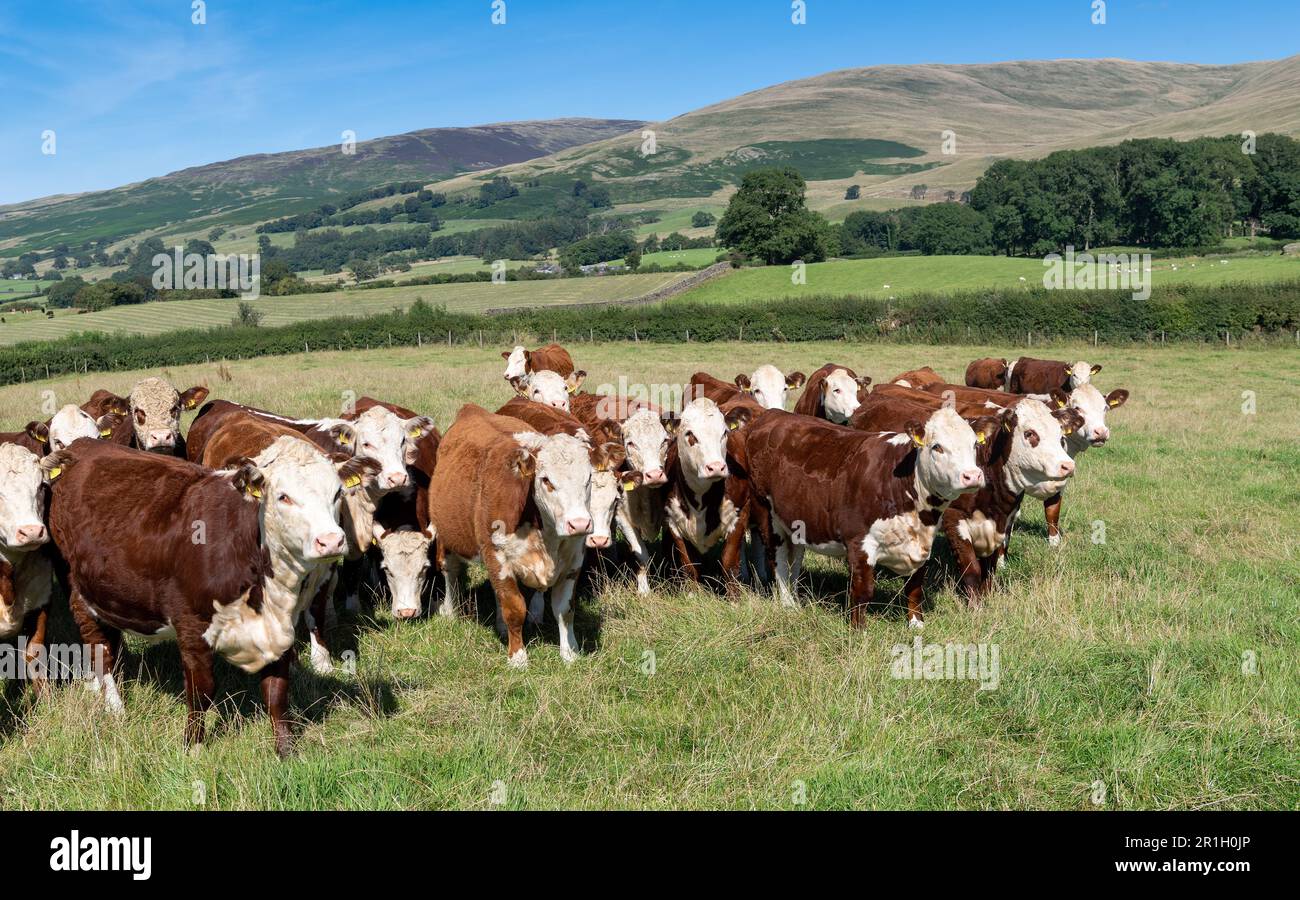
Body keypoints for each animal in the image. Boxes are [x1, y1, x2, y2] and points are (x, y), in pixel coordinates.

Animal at [48, 436, 379, 754]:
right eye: (283, 496)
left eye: (337, 494)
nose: (331, 541)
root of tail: (82, 446)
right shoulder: (192, 625)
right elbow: (201, 691)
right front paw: (193, 746)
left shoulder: (280, 625)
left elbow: (276, 692)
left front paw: (286, 751)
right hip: (77, 591)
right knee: (99, 647)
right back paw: (114, 705)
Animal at [431, 403, 598, 663]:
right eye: (546, 480)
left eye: (589, 477)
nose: (579, 524)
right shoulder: (496, 555)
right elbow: (514, 607)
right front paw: (518, 657)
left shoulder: (573, 560)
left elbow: (564, 609)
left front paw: (569, 653)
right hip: (447, 536)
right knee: (450, 572)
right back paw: (450, 610)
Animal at [743, 405, 993, 626]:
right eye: (937, 447)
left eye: (974, 444)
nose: (972, 475)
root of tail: (774, 414)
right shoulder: (859, 542)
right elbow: (862, 590)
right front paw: (858, 630)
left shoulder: (923, 543)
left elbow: (914, 587)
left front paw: (916, 624)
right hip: (767, 516)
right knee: (779, 561)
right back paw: (789, 605)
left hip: (797, 519)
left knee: (795, 558)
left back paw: (796, 599)